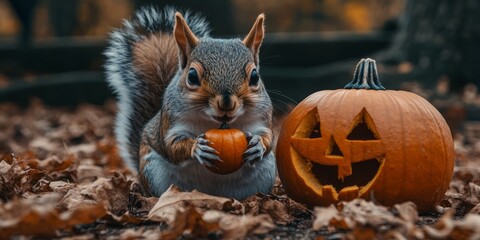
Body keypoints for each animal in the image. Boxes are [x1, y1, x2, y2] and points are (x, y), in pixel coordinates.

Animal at [105, 6, 278, 200]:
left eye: (255, 76)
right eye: (192, 76)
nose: (226, 103)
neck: (218, 124)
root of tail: (212, 193)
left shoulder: (262, 118)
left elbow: (268, 137)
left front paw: (258, 144)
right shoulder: (171, 124)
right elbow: (172, 146)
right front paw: (197, 147)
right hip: (153, 172)